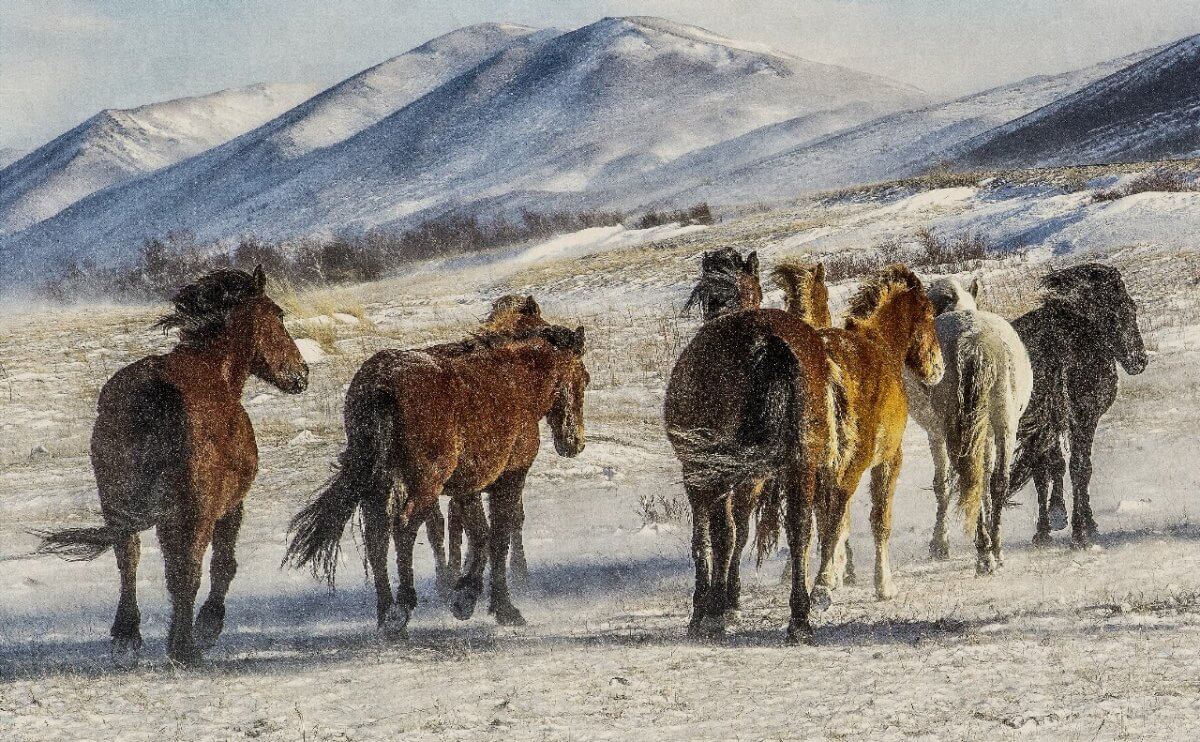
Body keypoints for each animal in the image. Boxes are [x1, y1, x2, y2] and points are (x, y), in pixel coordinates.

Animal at [36, 268, 309, 662]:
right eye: (279, 315)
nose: (301, 373)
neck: (214, 369)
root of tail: (153, 392)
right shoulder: (229, 506)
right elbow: (221, 565)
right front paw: (209, 625)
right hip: (195, 511)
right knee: (188, 568)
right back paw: (184, 647)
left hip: (121, 502)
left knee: (128, 556)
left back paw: (127, 635)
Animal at [290, 303, 590, 633]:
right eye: (584, 378)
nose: (575, 443)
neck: (515, 379)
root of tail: (382, 384)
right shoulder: (510, 478)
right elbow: (498, 537)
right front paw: (502, 607)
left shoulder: (468, 486)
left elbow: (479, 535)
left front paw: (465, 596)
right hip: (423, 484)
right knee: (403, 528)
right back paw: (402, 608)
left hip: (377, 484)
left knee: (377, 538)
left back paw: (385, 613)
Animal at [902, 274, 1036, 569]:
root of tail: (973, 340)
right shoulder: (985, 434)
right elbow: (985, 479)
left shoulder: (935, 433)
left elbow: (942, 485)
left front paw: (939, 544)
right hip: (1004, 422)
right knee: (997, 481)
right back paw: (995, 549)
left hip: (955, 428)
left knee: (967, 478)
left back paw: (984, 552)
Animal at [1008, 262, 1147, 545]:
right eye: (1129, 308)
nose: (1139, 360)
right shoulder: (1084, 418)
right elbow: (1081, 469)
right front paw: (1085, 524)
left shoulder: (1048, 424)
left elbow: (1054, 466)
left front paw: (1057, 515)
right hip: (1076, 419)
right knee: (1075, 468)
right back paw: (1079, 534)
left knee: (1042, 470)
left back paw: (1044, 531)